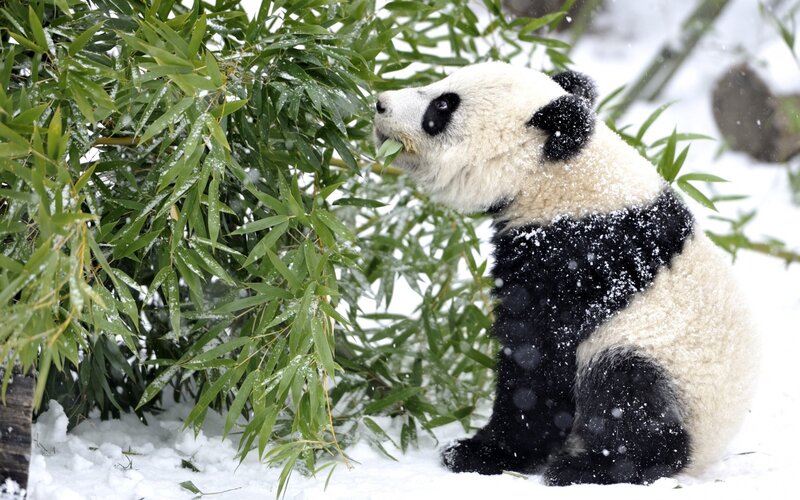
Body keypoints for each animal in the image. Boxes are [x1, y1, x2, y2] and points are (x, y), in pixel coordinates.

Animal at [373, 62, 758, 485]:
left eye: (442, 107)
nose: (380, 104)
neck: (566, 177)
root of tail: (704, 457)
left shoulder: (573, 261)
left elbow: (538, 362)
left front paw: (478, 452)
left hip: (666, 366)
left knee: (625, 393)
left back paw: (592, 467)